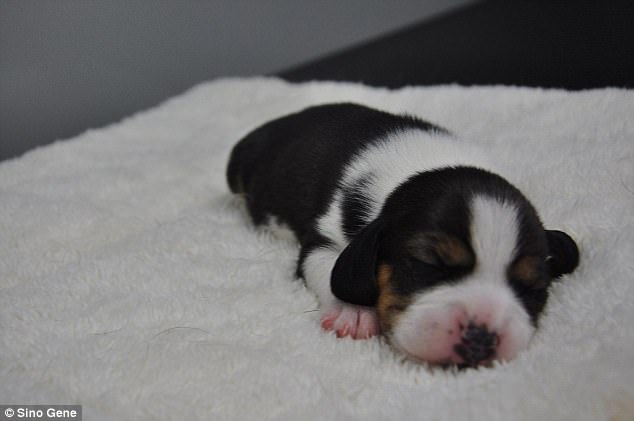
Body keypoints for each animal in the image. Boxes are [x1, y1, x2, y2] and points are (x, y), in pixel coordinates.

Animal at [226, 103, 576, 366]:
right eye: (428, 264)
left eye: (533, 287)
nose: (481, 338)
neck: (424, 167)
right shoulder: (322, 240)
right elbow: (328, 267)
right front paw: (354, 312)